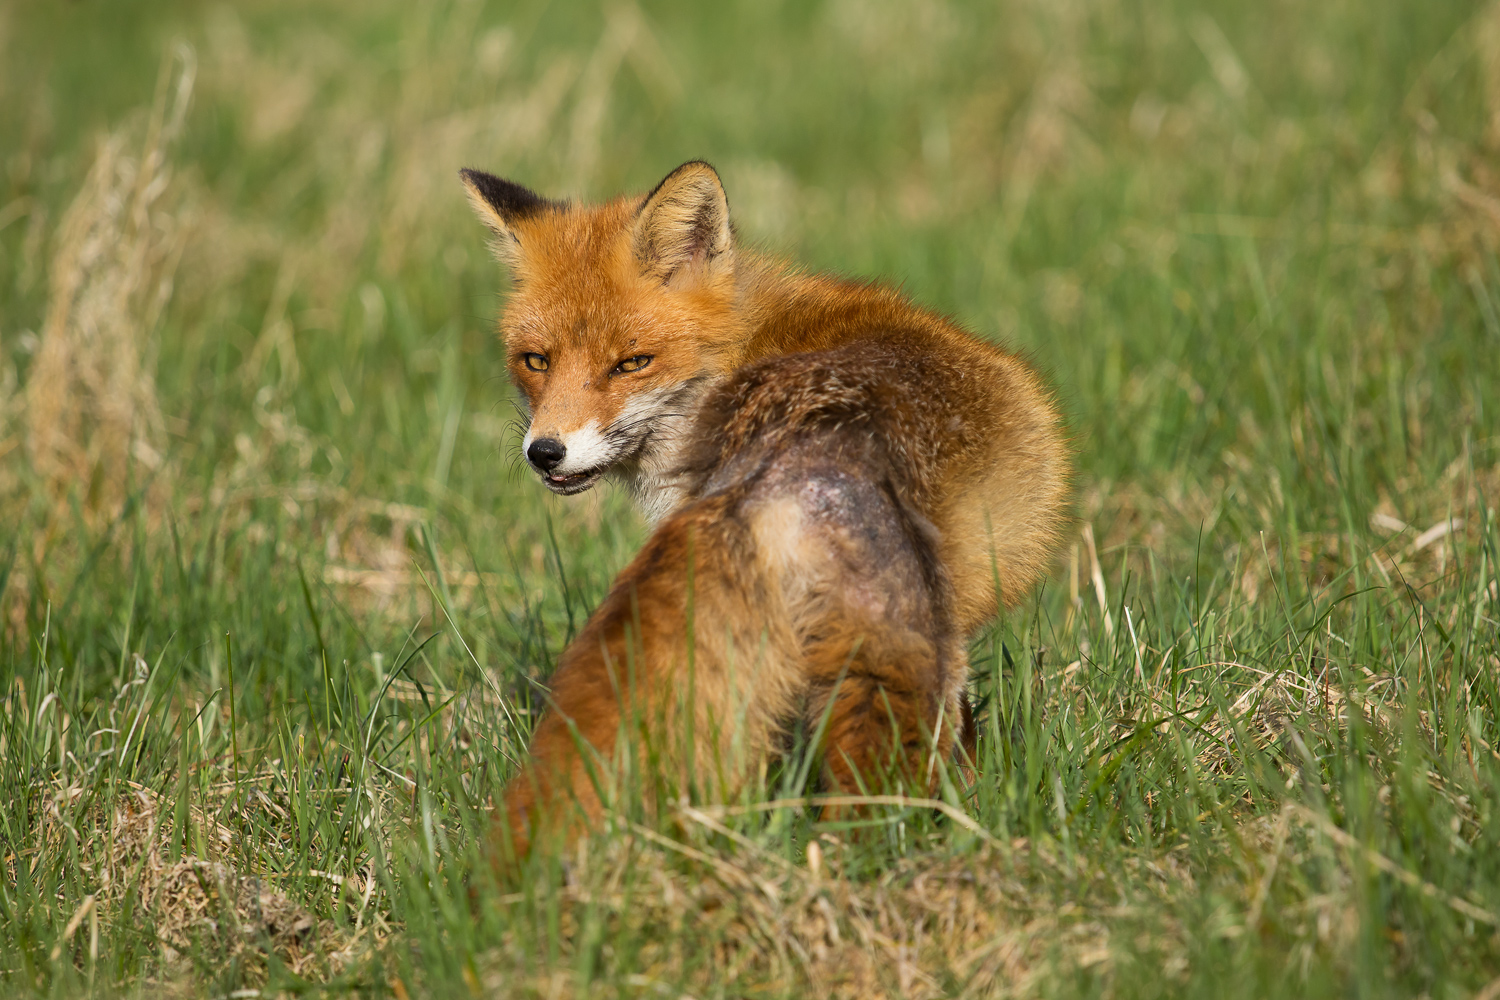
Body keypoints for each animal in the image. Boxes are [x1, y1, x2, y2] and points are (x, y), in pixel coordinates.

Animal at [462, 160, 1074, 857]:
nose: (545, 453)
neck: (744, 346)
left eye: (632, 363)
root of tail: (787, 458)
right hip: (888, 667)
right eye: (536, 361)